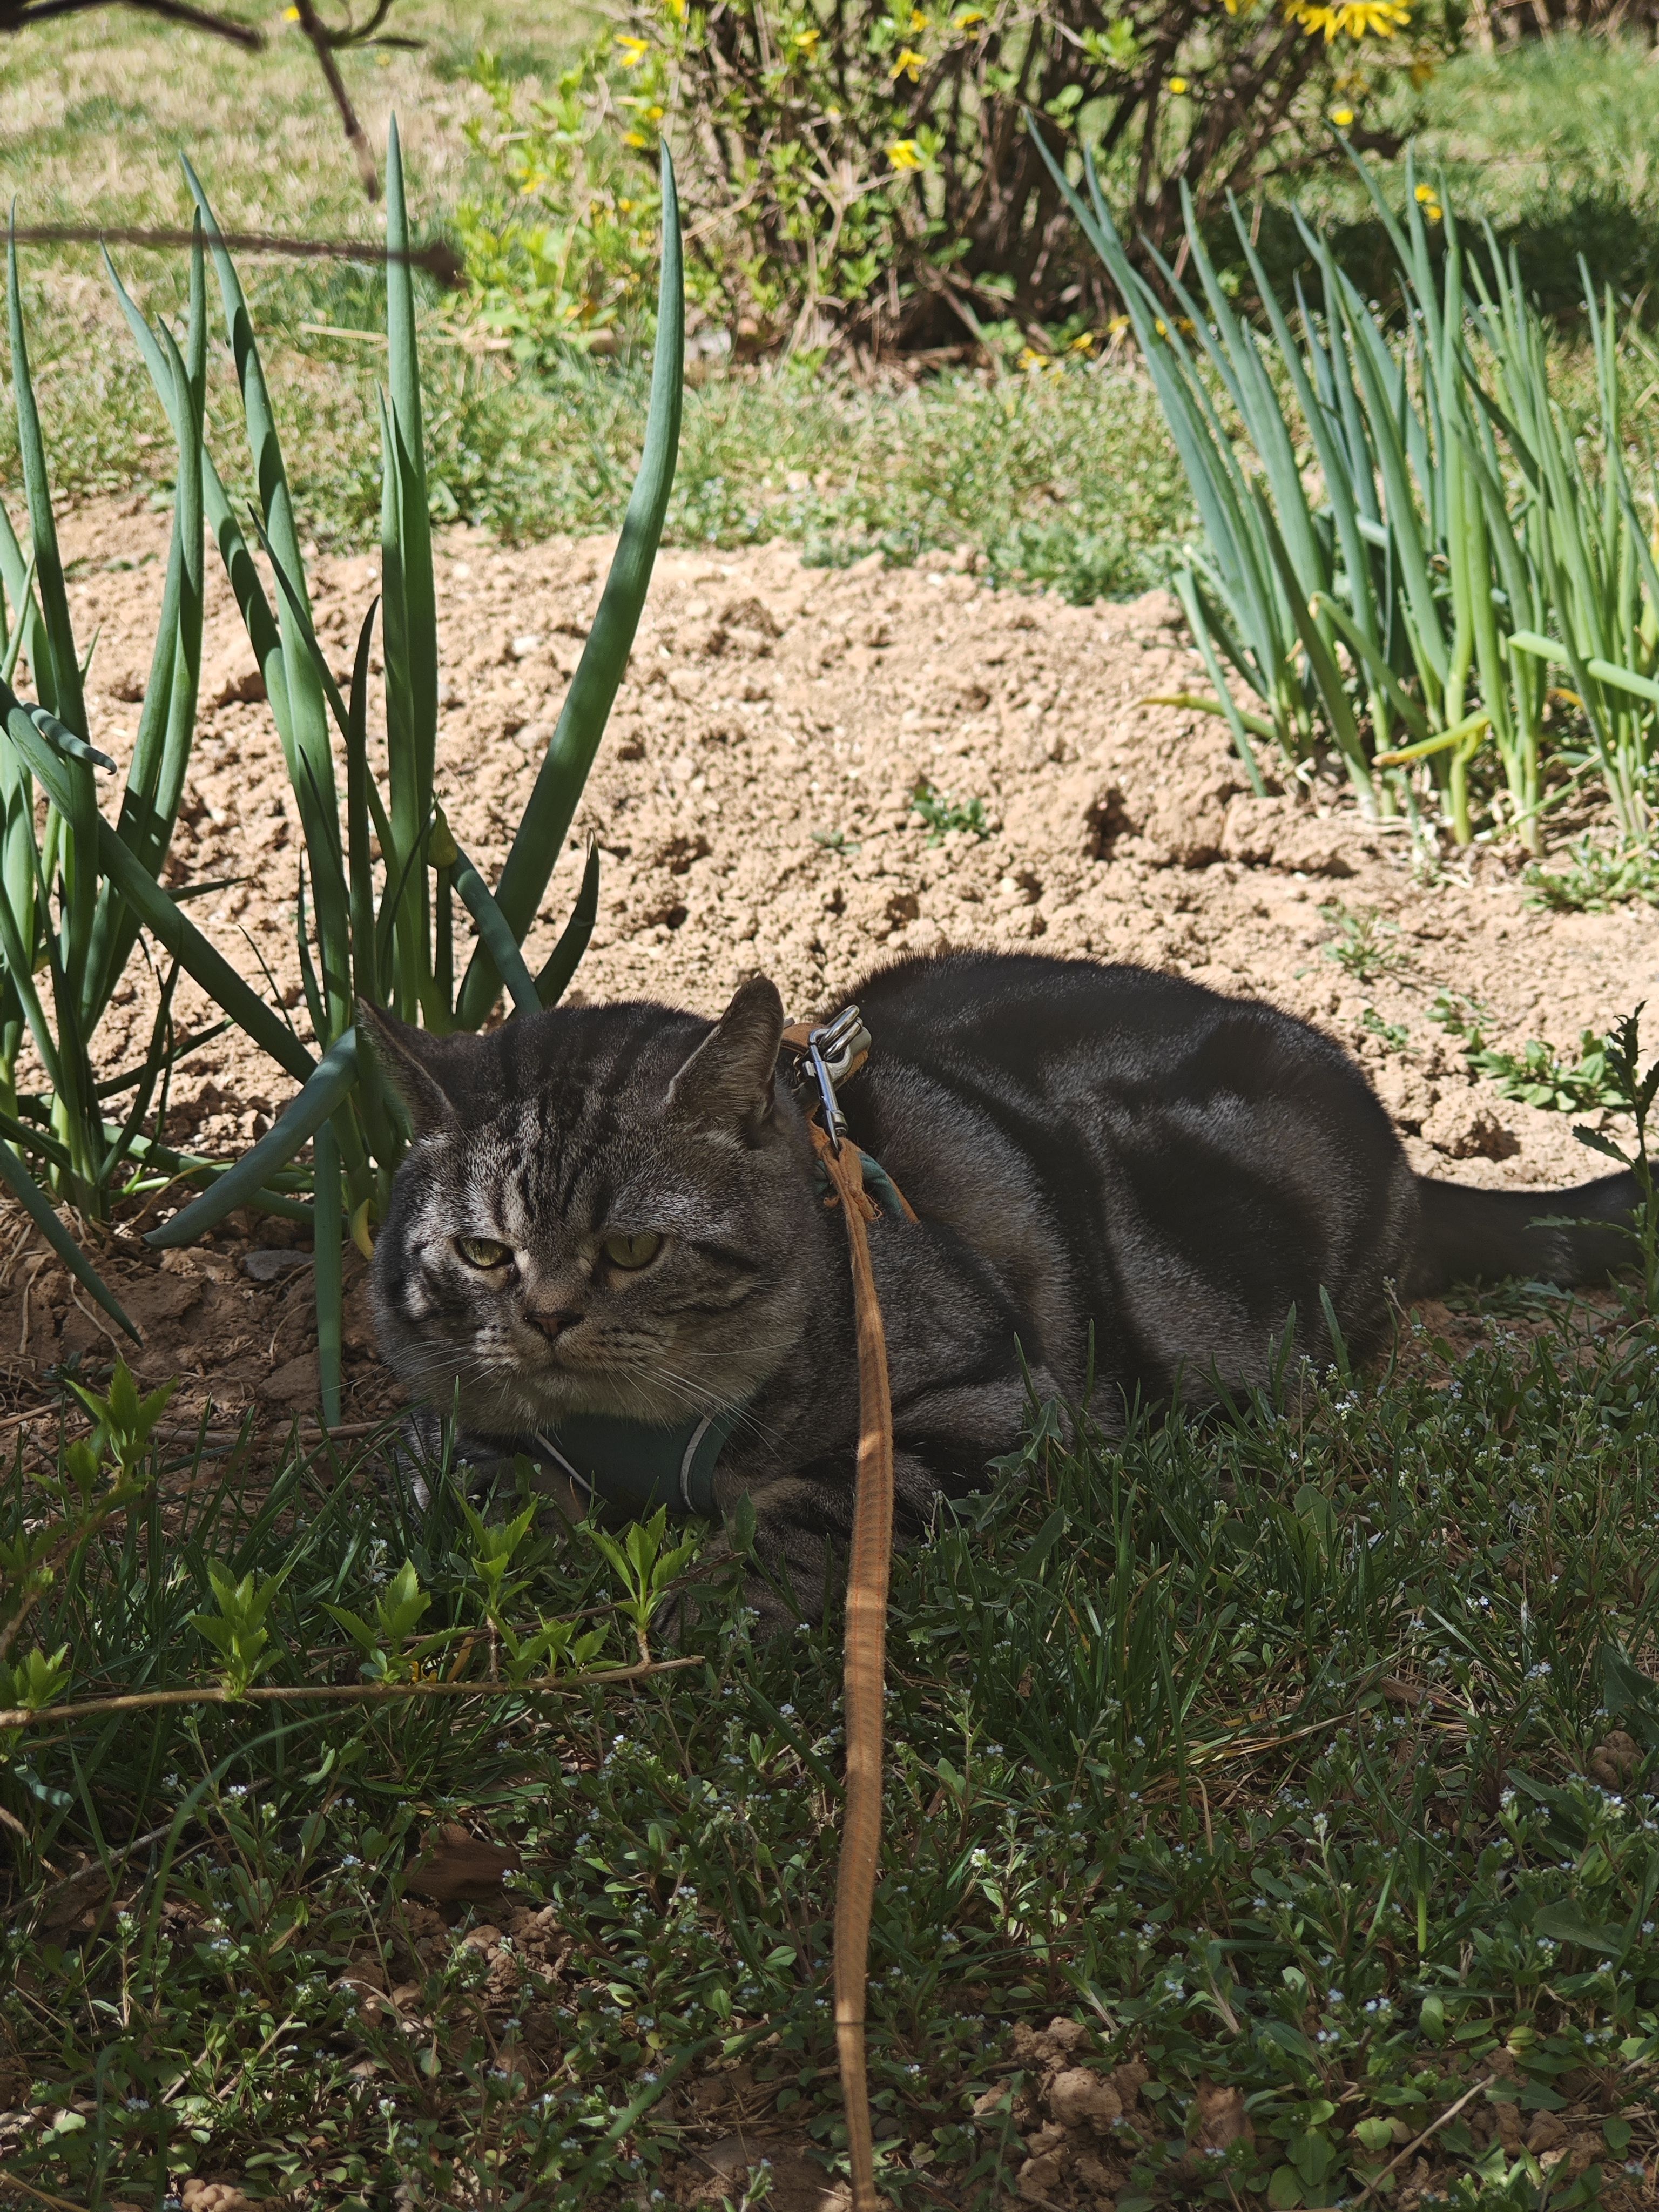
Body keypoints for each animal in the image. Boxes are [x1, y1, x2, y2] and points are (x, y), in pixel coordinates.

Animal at [361, 952, 1636, 1628]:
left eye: (631, 1249)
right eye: (484, 1253)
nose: (545, 1317)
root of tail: (1414, 1166)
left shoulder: (988, 1408)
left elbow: (809, 1508)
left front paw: (699, 1598)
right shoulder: (440, 1428)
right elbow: (474, 1480)